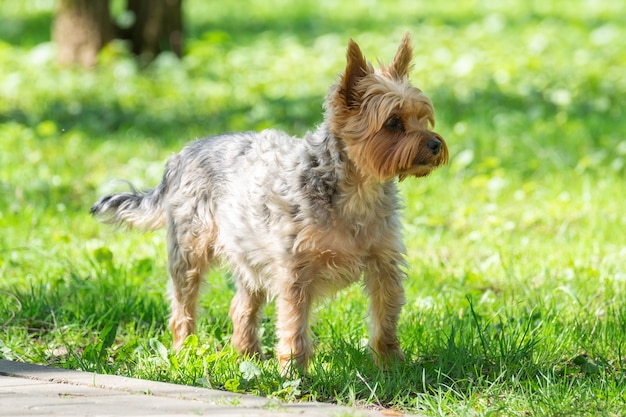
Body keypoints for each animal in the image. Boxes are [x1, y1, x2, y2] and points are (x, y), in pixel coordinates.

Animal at [90, 31, 446, 370]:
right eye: (393, 123)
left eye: (422, 117)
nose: (434, 145)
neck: (358, 189)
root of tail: (182, 154)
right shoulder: (295, 272)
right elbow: (294, 325)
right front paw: (294, 373)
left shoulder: (383, 264)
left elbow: (385, 319)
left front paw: (392, 368)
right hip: (189, 252)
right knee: (183, 305)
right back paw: (185, 350)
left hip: (250, 253)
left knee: (241, 306)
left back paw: (248, 354)